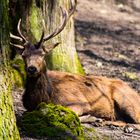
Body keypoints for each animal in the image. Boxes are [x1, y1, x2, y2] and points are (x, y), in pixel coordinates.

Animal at [10, 0, 140, 132]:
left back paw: (123, 126)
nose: (32, 68)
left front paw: (93, 118)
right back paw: (108, 122)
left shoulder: (79, 102)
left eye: (42, 54)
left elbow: (71, 114)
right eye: (24, 55)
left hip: (126, 101)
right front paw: (97, 119)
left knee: (136, 120)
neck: (44, 98)